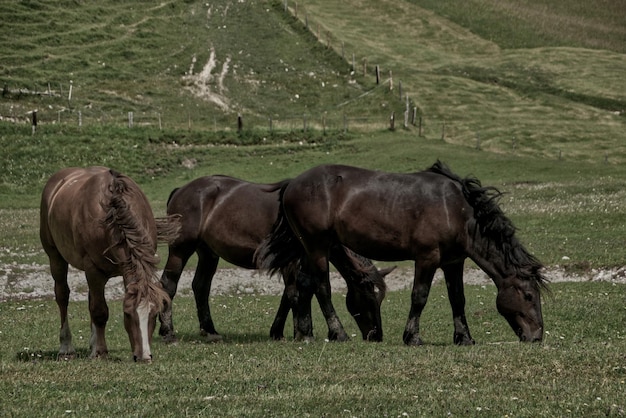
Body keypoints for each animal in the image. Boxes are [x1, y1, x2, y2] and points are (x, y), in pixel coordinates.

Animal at [40, 167, 179, 362]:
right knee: (62, 296)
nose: (144, 356)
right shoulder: (93, 269)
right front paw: (100, 351)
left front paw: (96, 348)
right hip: (56, 257)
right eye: (127, 314)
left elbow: (95, 307)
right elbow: (99, 311)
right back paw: (66, 348)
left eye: (154, 314)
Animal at [157, 175, 390, 342]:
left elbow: (294, 294)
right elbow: (298, 293)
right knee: (168, 285)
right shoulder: (292, 263)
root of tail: (181, 190)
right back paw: (168, 332)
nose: (376, 336)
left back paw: (209, 330)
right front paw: (304, 332)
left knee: (201, 287)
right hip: (181, 250)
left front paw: (286, 331)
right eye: (368, 297)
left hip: (208, 254)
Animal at [256, 162, 548, 344]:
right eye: (529, 296)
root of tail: (292, 184)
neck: (456, 210)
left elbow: (458, 300)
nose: (536, 336)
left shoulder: (453, 262)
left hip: (309, 247)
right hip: (318, 246)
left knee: (304, 285)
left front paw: (464, 338)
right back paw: (338, 333)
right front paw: (412, 337)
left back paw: (305, 334)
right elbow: (419, 296)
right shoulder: (427, 258)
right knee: (322, 288)